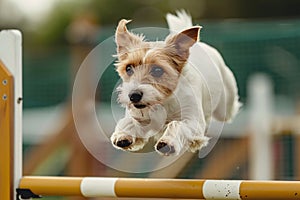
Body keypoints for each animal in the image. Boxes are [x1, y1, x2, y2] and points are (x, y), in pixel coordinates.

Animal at [110, 10, 241, 155]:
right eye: (128, 68)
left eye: (157, 70)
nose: (134, 95)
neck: (164, 101)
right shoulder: (141, 117)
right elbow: (129, 121)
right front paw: (123, 135)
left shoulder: (193, 121)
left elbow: (177, 124)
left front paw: (167, 142)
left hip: (225, 106)